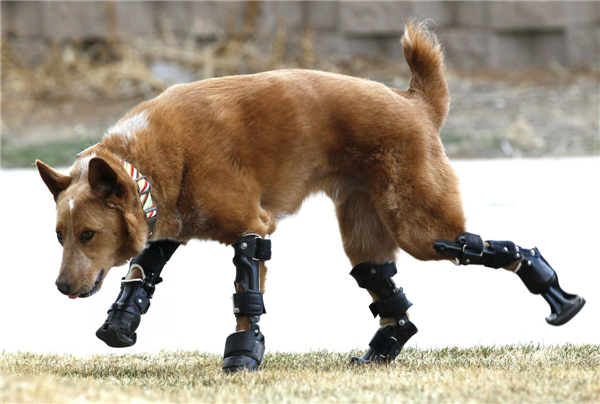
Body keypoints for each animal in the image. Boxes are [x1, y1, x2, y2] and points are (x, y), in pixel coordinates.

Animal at [36, 21, 580, 370]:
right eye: (60, 236)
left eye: (88, 235)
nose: (60, 288)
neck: (151, 161)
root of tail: (416, 103)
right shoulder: (170, 227)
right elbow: (142, 271)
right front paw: (121, 323)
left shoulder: (251, 228)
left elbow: (246, 296)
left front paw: (243, 355)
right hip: (365, 231)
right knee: (388, 292)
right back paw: (378, 353)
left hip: (420, 229)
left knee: (487, 247)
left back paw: (558, 296)